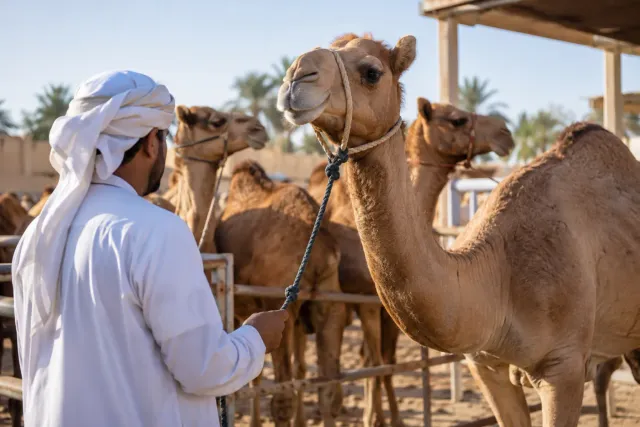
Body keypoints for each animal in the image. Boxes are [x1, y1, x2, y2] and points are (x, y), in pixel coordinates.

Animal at [306, 97, 514, 426]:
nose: (505, 133)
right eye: (457, 119)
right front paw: (372, 418)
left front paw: (392, 418)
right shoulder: (367, 302)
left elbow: (387, 361)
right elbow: (374, 360)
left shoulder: (388, 309)